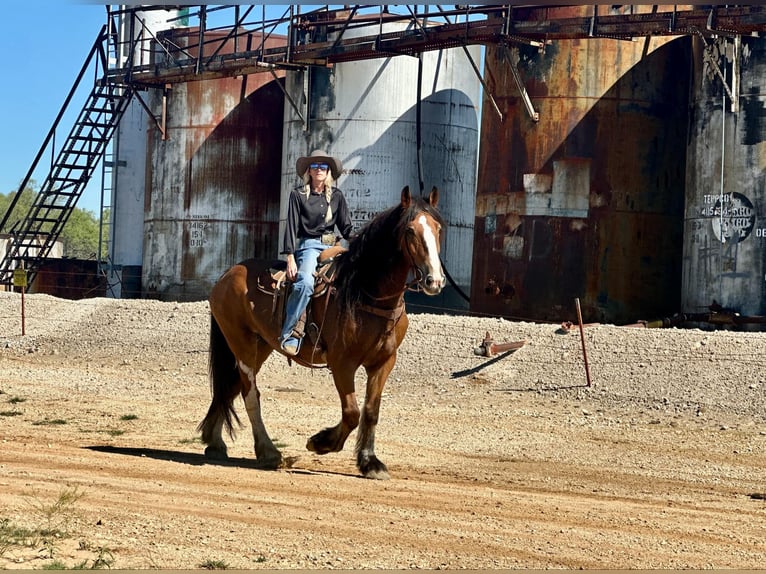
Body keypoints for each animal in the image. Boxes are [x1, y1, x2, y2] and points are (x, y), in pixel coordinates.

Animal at [201, 186, 448, 482]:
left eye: (438, 228)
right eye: (410, 230)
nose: (435, 280)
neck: (364, 290)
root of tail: (227, 274)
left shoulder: (384, 362)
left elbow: (370, 411)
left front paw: (370, 463)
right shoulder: (342, 363)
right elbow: (352, 412)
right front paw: (320, 442)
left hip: (258, 348)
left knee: (229, 389)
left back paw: (215, 442)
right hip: (243, 345)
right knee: (251, 395)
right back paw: (268, 451)